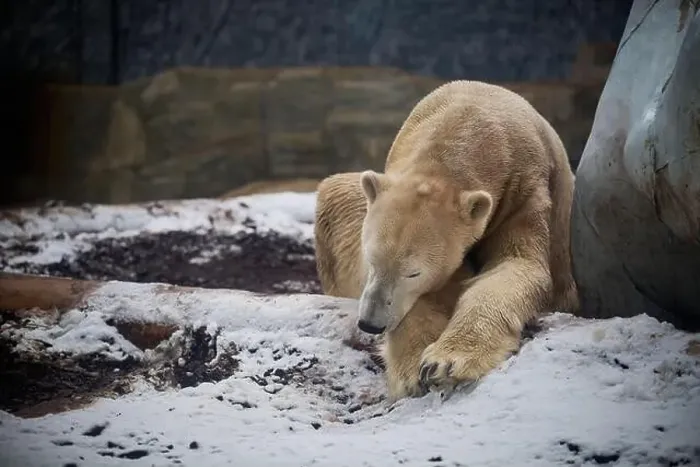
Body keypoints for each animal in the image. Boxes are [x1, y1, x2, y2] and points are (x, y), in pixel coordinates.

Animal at [354, 80, 578, 394]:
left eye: (413, 273)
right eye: (371, 260)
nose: (370, 324)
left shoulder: (524, 191)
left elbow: (517, 266)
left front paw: (444, 362)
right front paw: (411, 370)